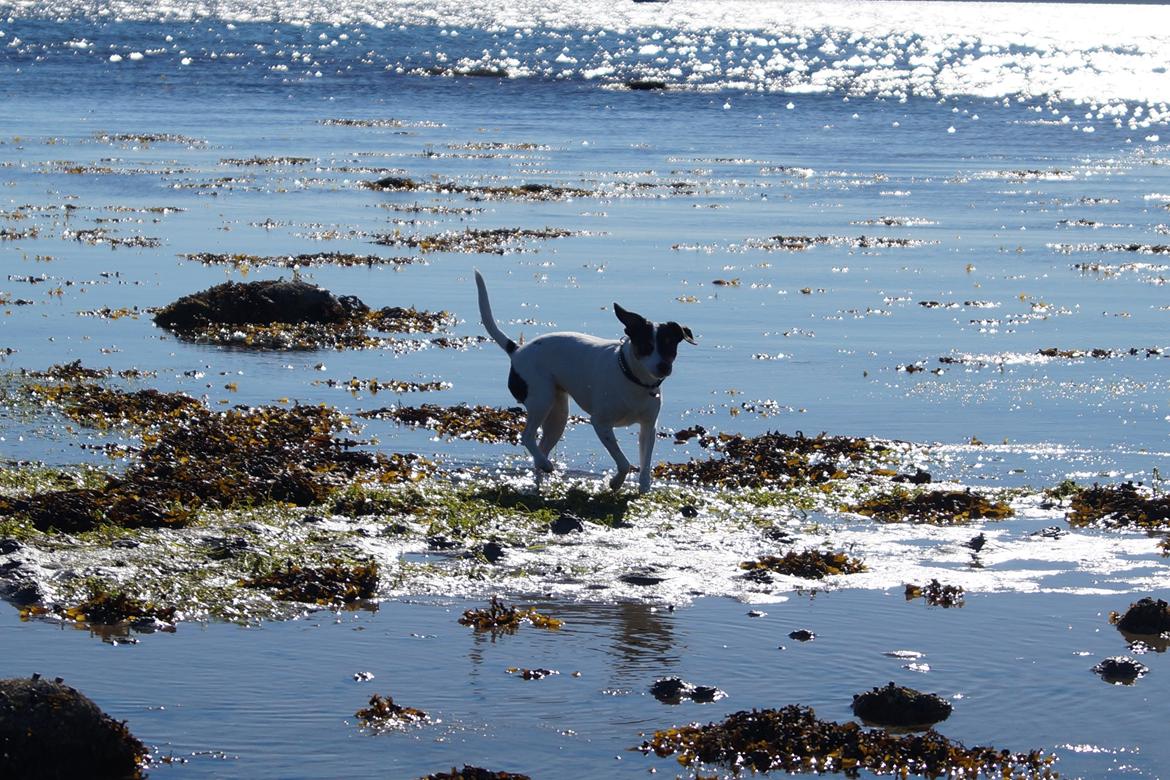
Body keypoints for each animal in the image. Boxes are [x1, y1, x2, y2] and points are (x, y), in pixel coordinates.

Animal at [475, 271, 692, 493]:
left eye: (670, 347)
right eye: (646, 346)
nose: (664, 367)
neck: (632, 377)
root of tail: (517, 351)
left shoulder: (649, 427)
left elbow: (645, 464)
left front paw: (643, 487)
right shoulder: (601, 424)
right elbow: (623, 463)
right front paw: (615, 482)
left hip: (558, 414)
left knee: (541, 447)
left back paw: (541, 476)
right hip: (541, 399)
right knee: (527, 437)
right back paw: (545, 464)